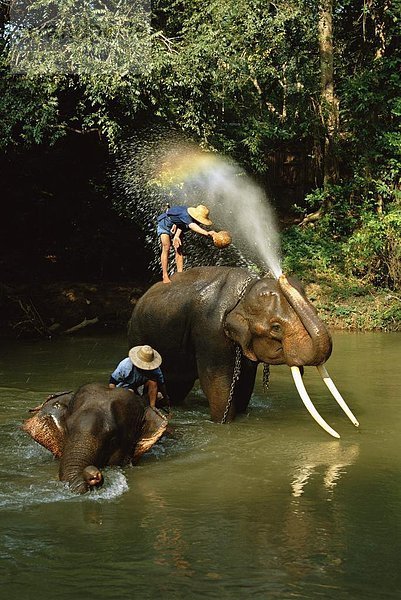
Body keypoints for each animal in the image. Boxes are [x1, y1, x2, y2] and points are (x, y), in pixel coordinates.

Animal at [127, 266, 356, 436]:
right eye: (276, 327)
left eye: (316, 310)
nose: (282, 275)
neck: (242, 296)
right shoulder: (210, 331)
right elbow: (217, 382)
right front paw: (223, 423)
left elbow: (245, 382)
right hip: (138, 335)